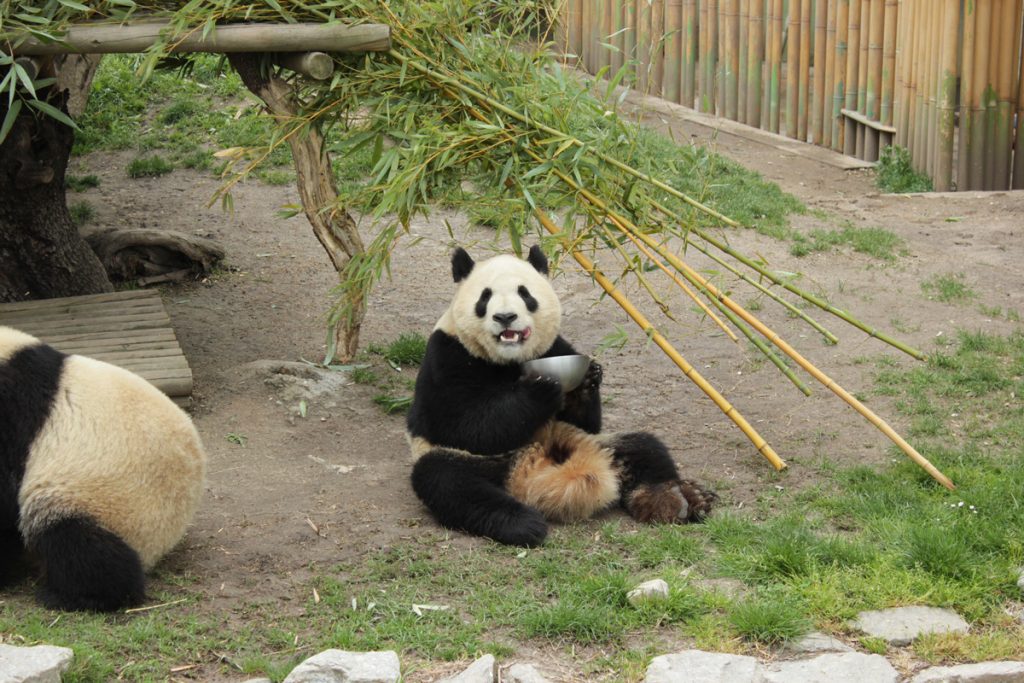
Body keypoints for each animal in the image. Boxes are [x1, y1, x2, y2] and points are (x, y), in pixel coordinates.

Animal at [407, 246, 717, 547]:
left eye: (525, 294)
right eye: (485, 297)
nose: (505, 317)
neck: (509, 359)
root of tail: (528, 475)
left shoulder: (555, 346)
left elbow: (588, 422)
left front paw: (587, 379)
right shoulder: (448, 355)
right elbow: (462, 424)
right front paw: (540, 390)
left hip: (597, 444)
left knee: (645, 448)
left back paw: (679, 501)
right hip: (472, 461)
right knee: (450, 483)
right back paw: (524, 524)